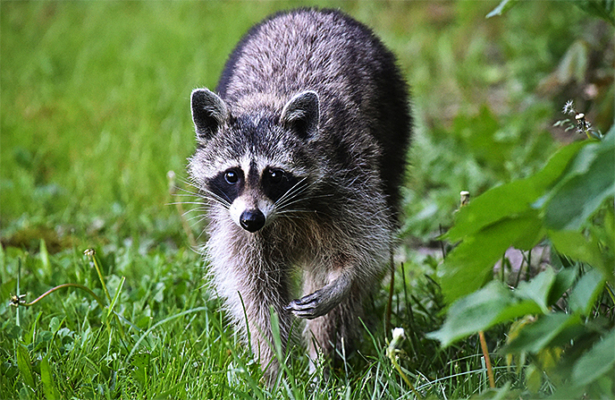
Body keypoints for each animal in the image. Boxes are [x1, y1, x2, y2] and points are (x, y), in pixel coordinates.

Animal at [188, 7, 410, 380]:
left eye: (274, 176)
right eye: (232, 175)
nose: (252, 219)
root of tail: (309, 10)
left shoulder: (352, 176)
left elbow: (365, 250)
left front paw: (344, 279)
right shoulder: (234, 223)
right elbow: (255, 293)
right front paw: (272, 365)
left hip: (394, 125)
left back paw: (323, 359)